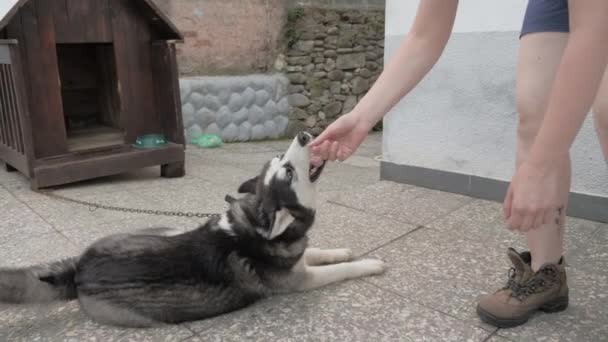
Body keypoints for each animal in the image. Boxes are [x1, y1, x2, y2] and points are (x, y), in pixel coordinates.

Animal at [0, 132, 388, 328]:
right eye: (287, 170)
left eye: (283, 161)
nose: (304, 135)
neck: (255, 229)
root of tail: (79, 271)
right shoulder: (300, 281)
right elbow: (340, 270)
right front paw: (369, 263)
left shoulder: (299, 259)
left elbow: (319, 251)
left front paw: (341, 250)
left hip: (167, 228)